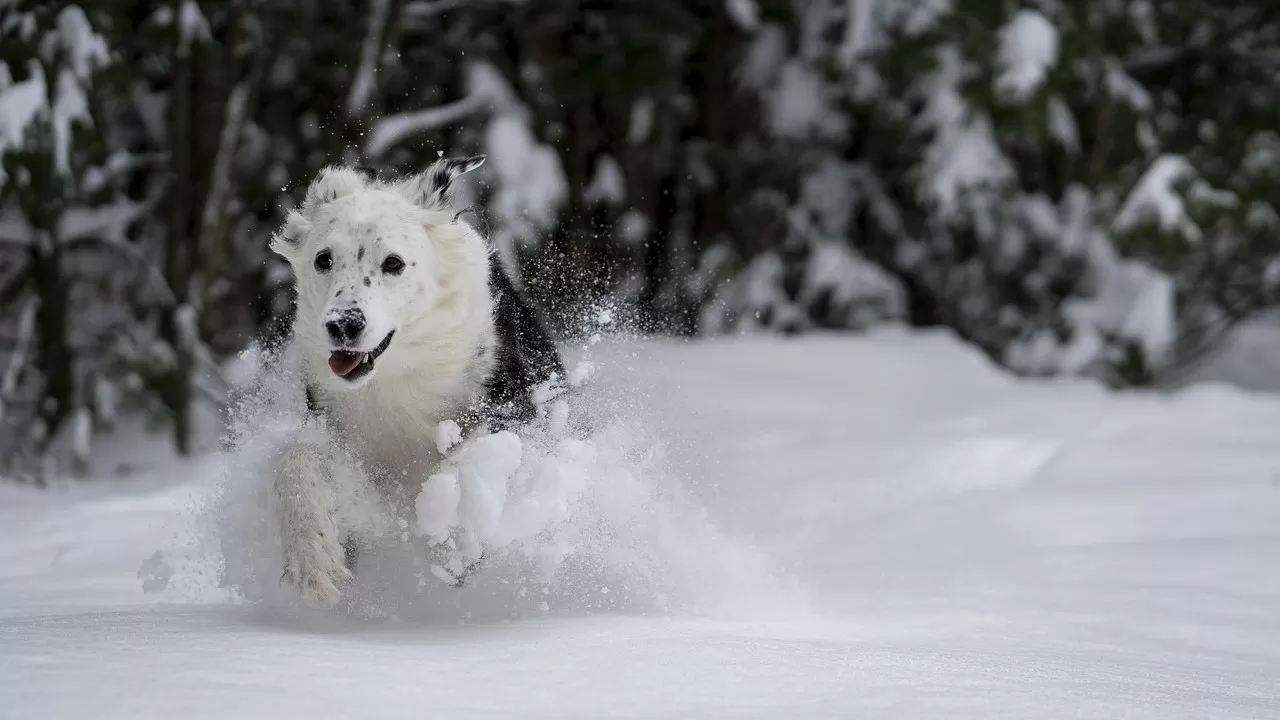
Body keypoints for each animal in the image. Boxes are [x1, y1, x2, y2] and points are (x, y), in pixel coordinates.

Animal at [267, 156, 563, 604]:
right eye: (323, 259)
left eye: (393, 262)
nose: (343, 325)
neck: (397, 373)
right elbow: (297, 458)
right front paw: (313, 558)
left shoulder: (511, 407)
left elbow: (469, 458)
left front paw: (452, 539)